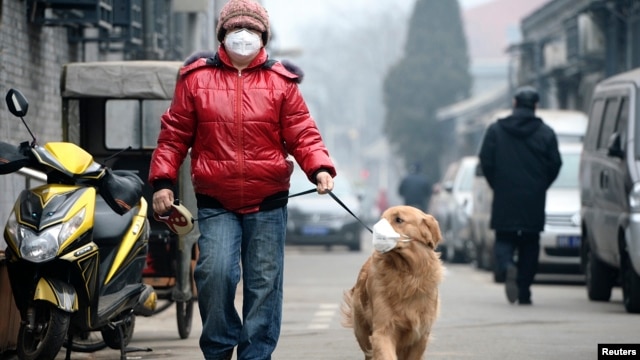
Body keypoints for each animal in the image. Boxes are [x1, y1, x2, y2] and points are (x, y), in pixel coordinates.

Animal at [342, 205, 442, 360]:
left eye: (398, 220)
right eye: (382, 218)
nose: (376, 231)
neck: (407, 275)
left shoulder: (420, 336)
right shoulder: (383, 331)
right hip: (362, 331)